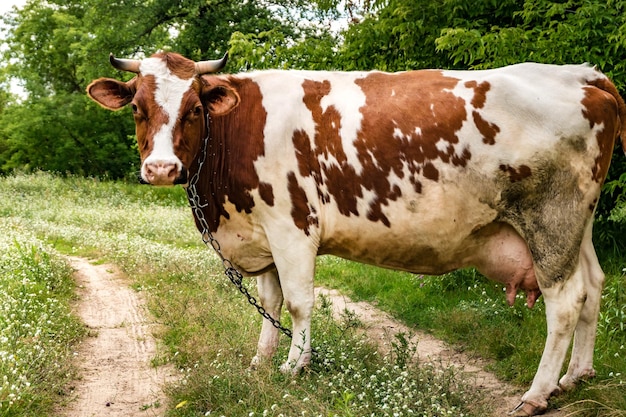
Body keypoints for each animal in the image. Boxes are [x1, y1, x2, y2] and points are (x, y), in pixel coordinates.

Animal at [86, 51, 624, 412]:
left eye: (194, 109)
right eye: (137, 108)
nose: (160, 169)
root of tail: (582, 74)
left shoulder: (291, 226)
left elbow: (298, 302)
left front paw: (294, 367)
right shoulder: (262, 230)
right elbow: (271, 302)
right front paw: (261, 363)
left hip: (550, 221)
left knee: (565, 302)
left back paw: (537, 393)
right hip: (578, 225)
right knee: (594, 287)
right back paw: (576, 377)